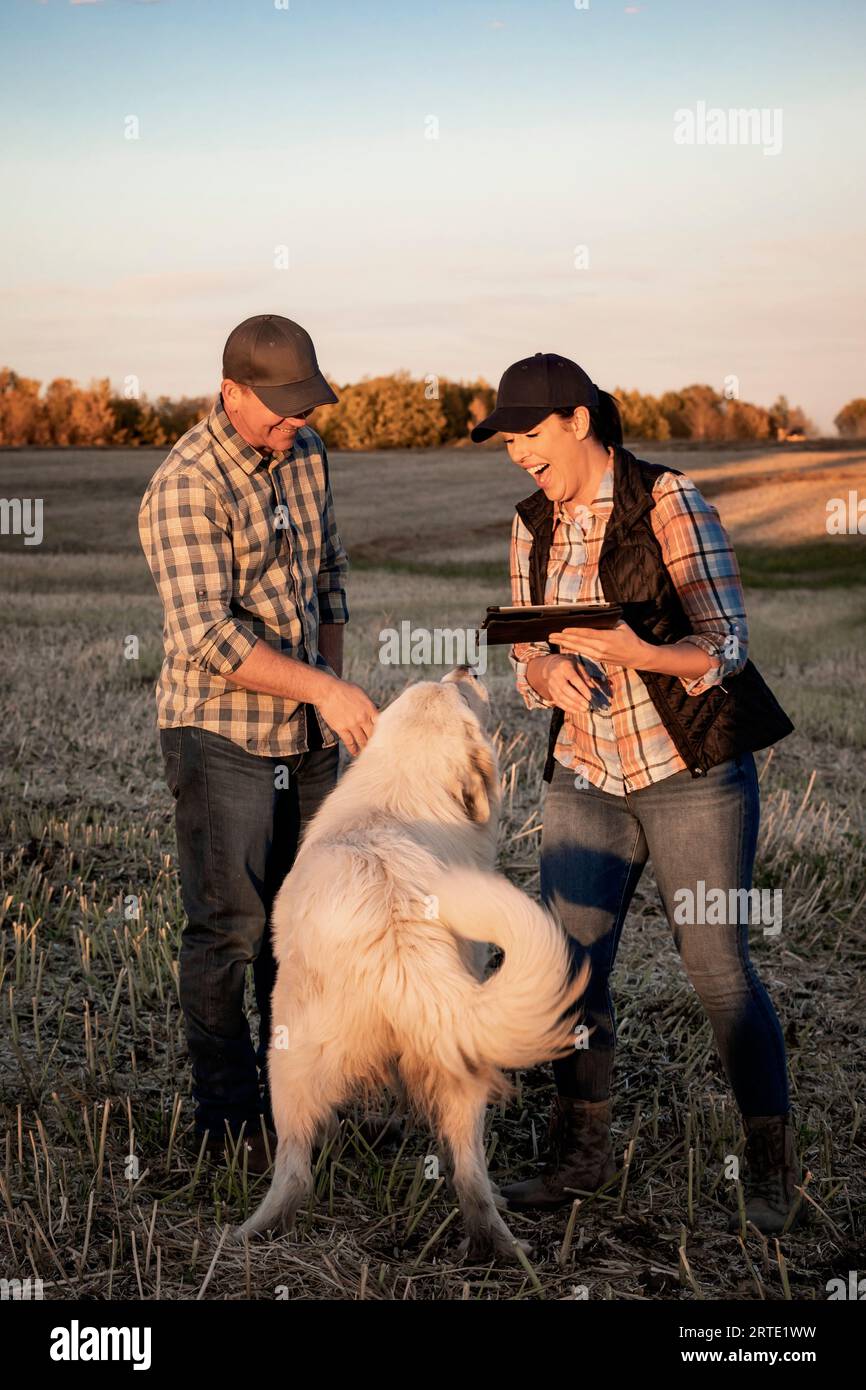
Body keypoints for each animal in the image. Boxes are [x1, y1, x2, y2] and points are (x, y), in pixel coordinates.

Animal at [233, 667, 589, 1267]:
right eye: (459, 689)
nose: (465, 669)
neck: (399, 794)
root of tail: (396, 933)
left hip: (284, 1058)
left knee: (295, 1171)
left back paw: (252, 1230)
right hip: (458, 1067)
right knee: (470, 1177)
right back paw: (503, 1248)